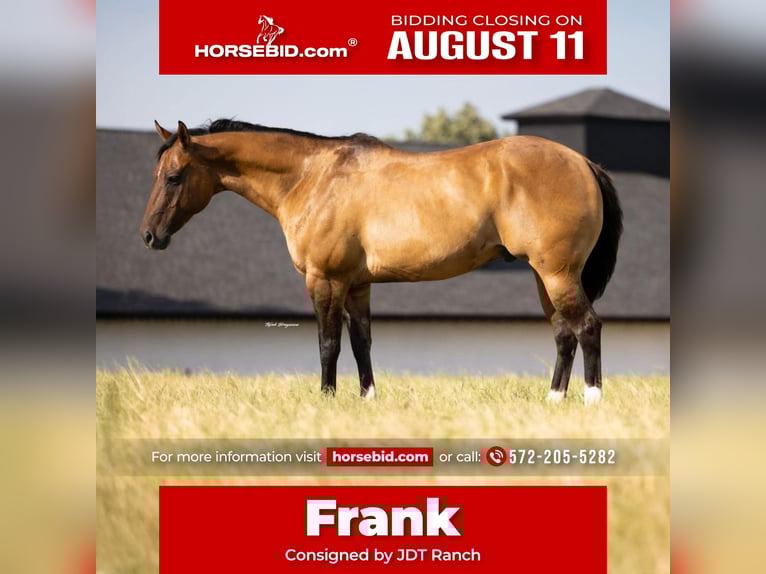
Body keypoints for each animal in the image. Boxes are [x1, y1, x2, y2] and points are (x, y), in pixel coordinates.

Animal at [141, 119, 622, 404]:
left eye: (174, 176)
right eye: (157, 174)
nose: (149, 235)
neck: (312, 177)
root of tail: (583, 161)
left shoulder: (326, 280)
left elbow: (328, 343)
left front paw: (327, 400)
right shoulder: (357, 284)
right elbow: (361, 343)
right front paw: (366, 400)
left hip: (558, 274)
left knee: (587, 327)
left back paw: (591, 401)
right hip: (545, 277)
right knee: (563, 334)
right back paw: (553, 401)